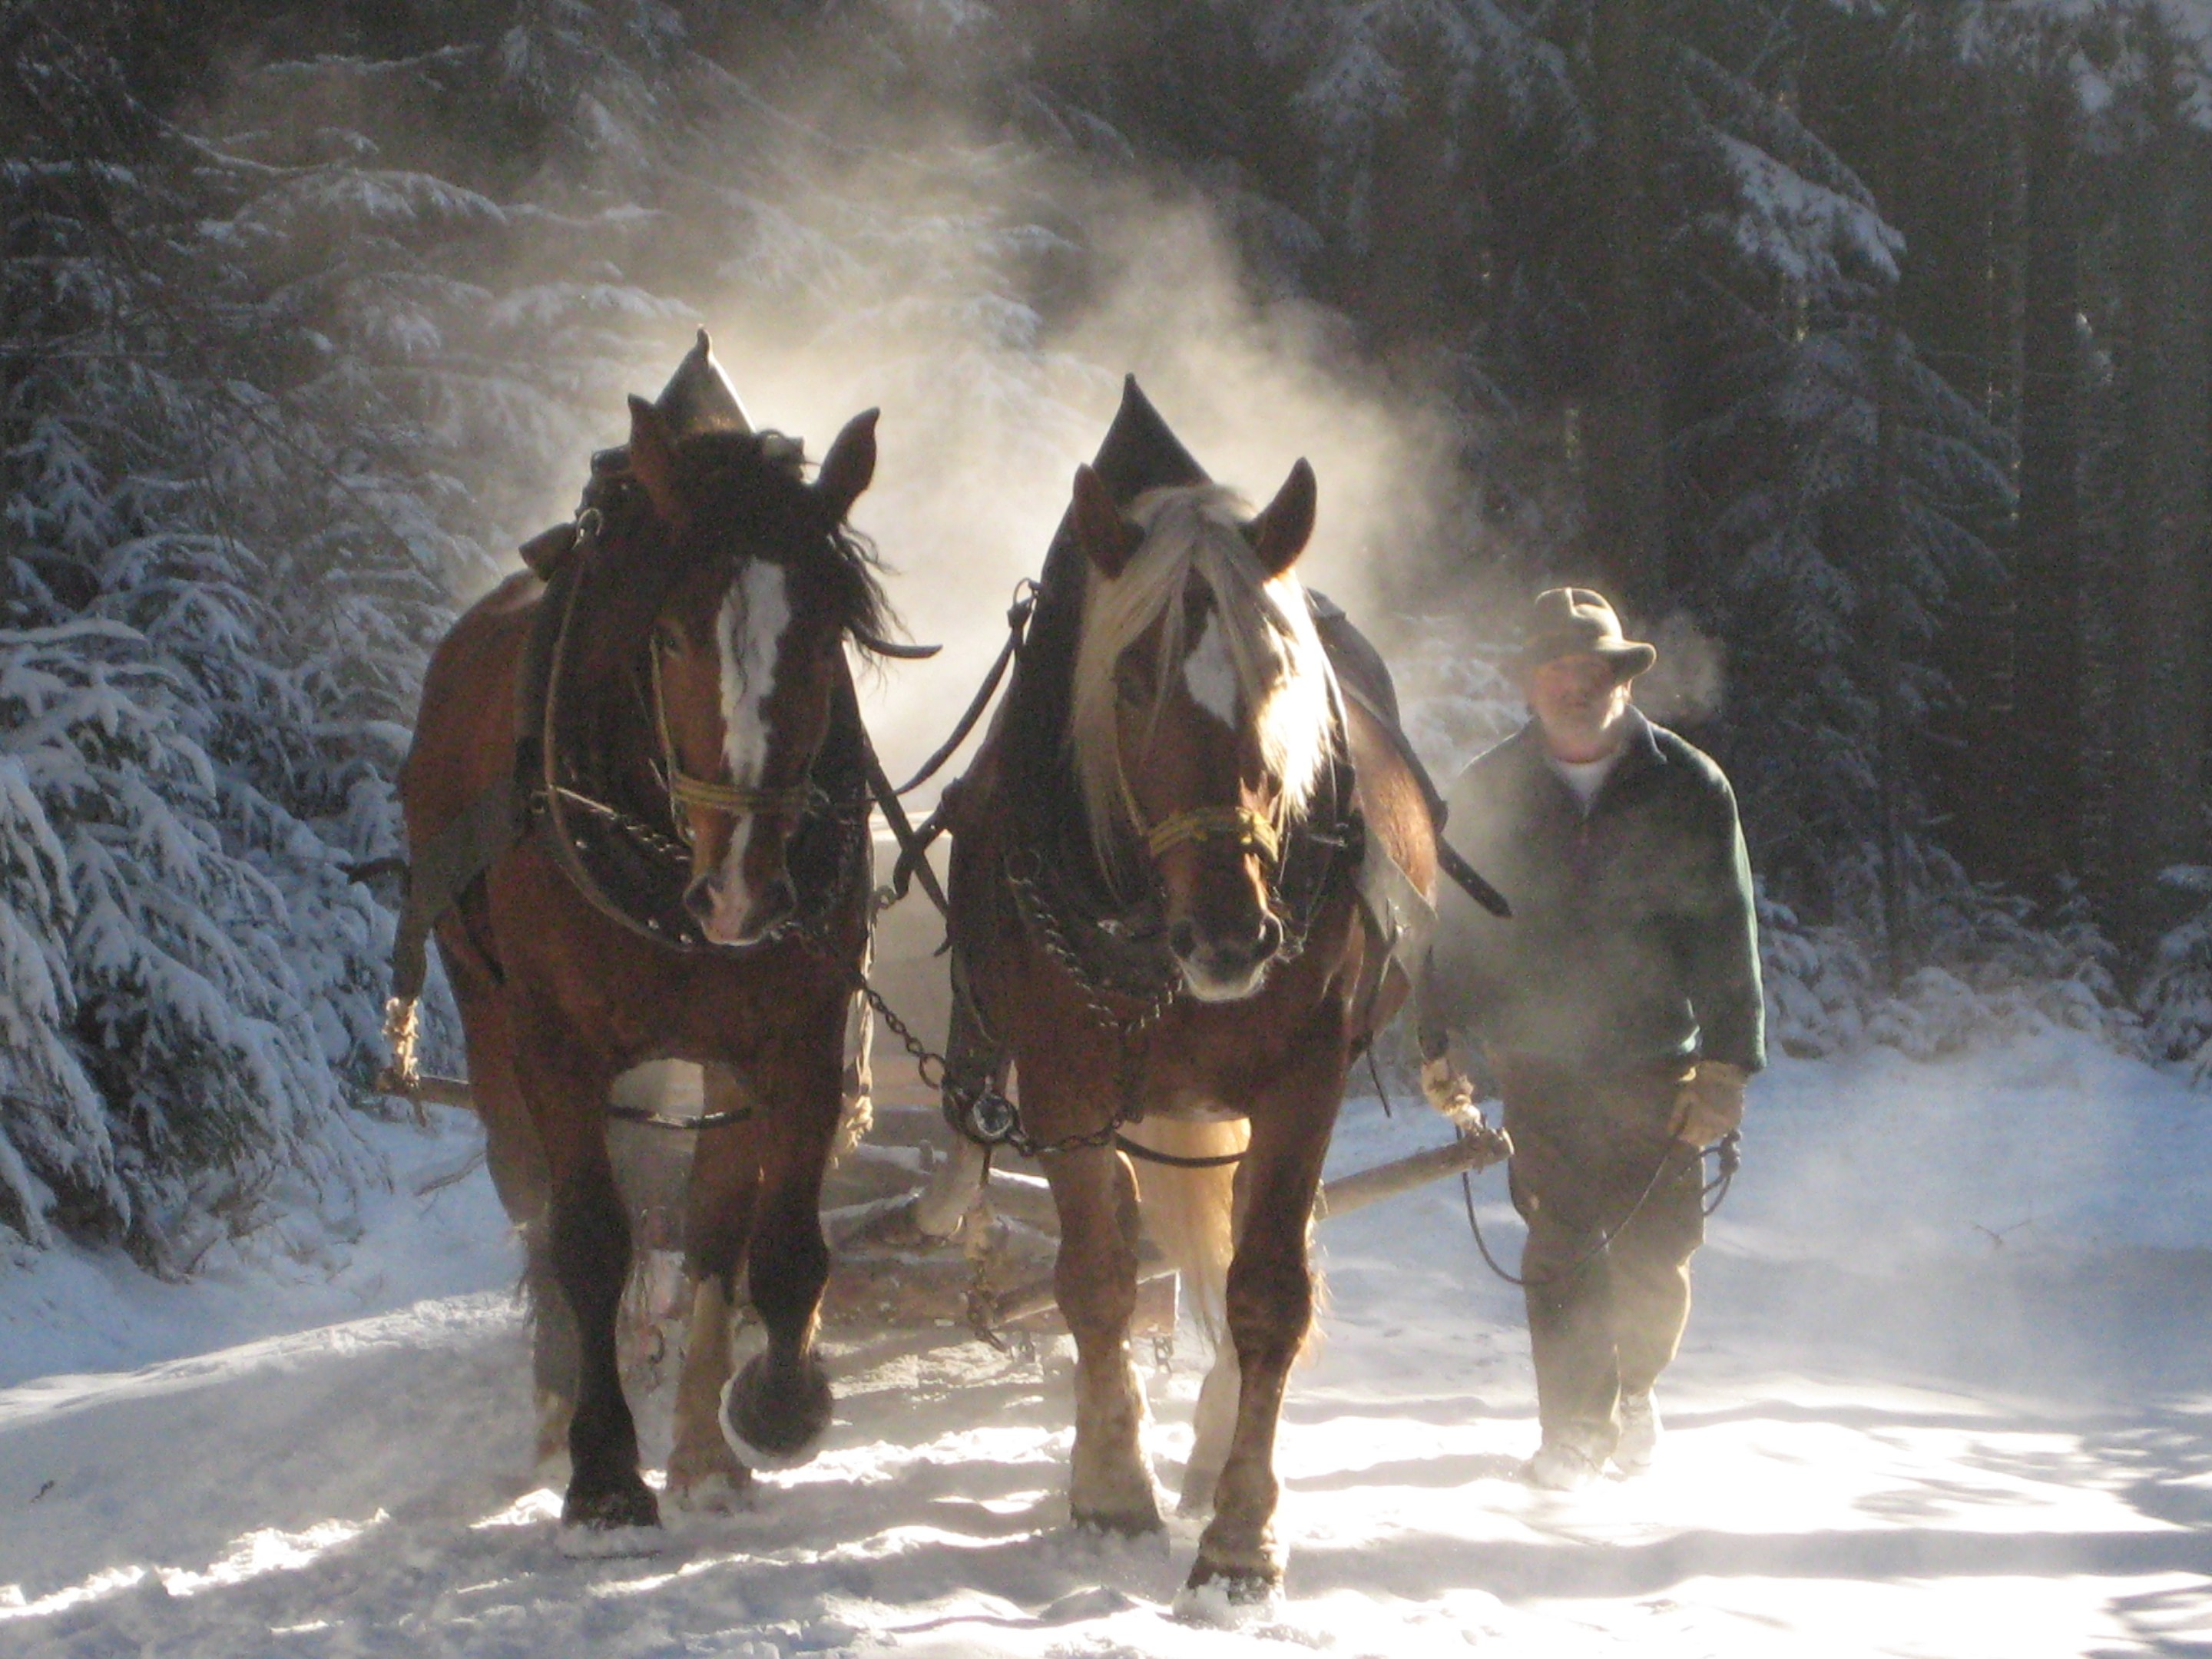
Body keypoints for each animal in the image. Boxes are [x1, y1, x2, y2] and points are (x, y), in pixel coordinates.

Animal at [398, 338, 898, 1548]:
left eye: (824, 636)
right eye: (667, 635)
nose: (742, 895)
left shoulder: (794, 1036)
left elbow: (776, 1239)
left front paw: (769, 1410)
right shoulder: (558, 1048)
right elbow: (587, 1239)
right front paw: (605, 1471)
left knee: (707, 1228)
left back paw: (702, 1447)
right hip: (492, 1032)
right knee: (535, 1208)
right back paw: (554, 1416)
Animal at [938, 382, 1442, 1601]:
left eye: (1284, 676)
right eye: (1129, 680)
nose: (1231, 935)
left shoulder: (1305, 1080)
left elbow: (1268, 1290)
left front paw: (1242, 1530)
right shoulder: (1067, 1086)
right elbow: (1097, 1276)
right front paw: (1111, 1485)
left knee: (1250, 1251)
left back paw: (1217, 1443)